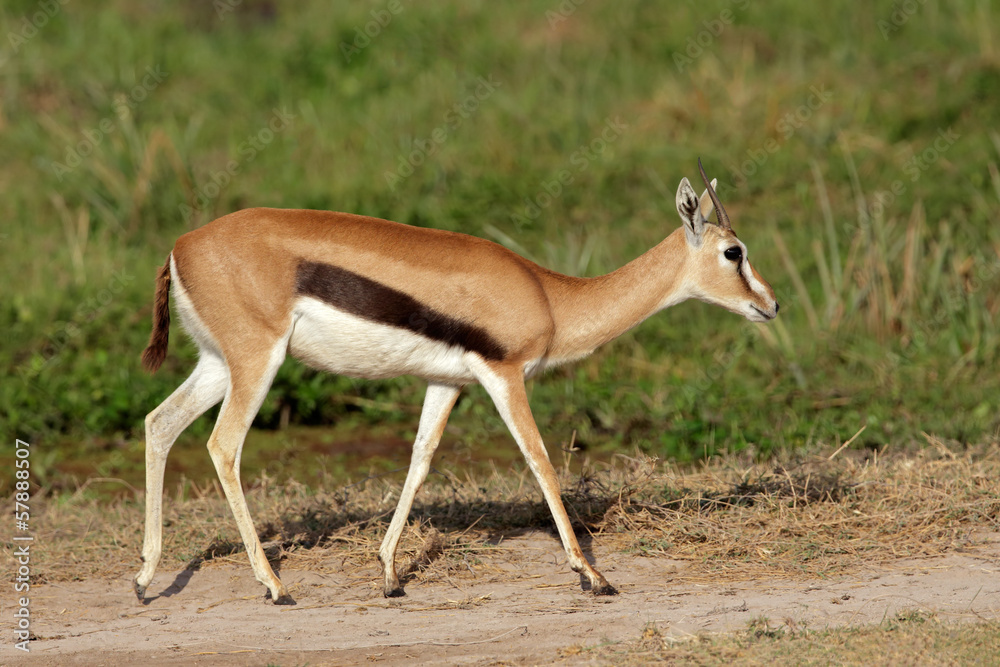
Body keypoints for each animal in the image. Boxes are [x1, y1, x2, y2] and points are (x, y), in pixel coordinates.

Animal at [134, 160, 778, 605]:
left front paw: (390, 574)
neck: (551, 297)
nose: (771, 304)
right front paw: (593, 575)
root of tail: (178, 248)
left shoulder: (447, 384)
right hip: (256, 362)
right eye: (734, 251)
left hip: (217, 363)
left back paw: (145, 578)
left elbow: (420, 460)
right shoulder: (505, 375)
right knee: (223, 445)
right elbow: (541, 461)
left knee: (159, 423)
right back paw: (274, 586)